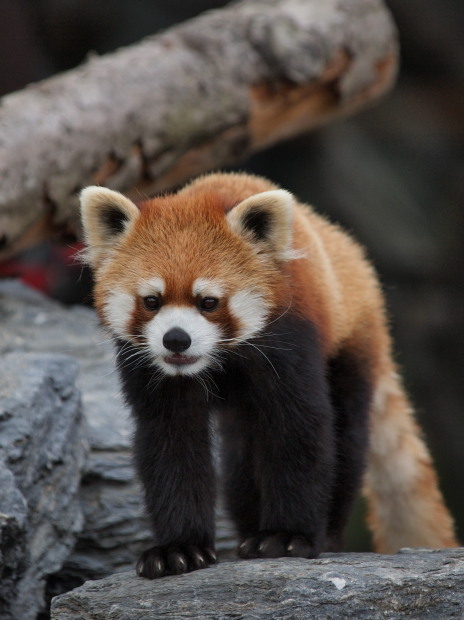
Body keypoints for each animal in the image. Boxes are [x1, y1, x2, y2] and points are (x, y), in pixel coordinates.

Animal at [80, 172, 456, 580]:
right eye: (152, 301)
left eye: (208, 302)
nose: (176, 339)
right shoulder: (151, 372)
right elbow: (170, 443)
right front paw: (179, 548)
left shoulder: (289, 342)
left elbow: (298, 430)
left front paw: (287, 537)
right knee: (240, 461)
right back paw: (249, 532)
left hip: (351, 341)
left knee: (347, 438)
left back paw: (326, 534)